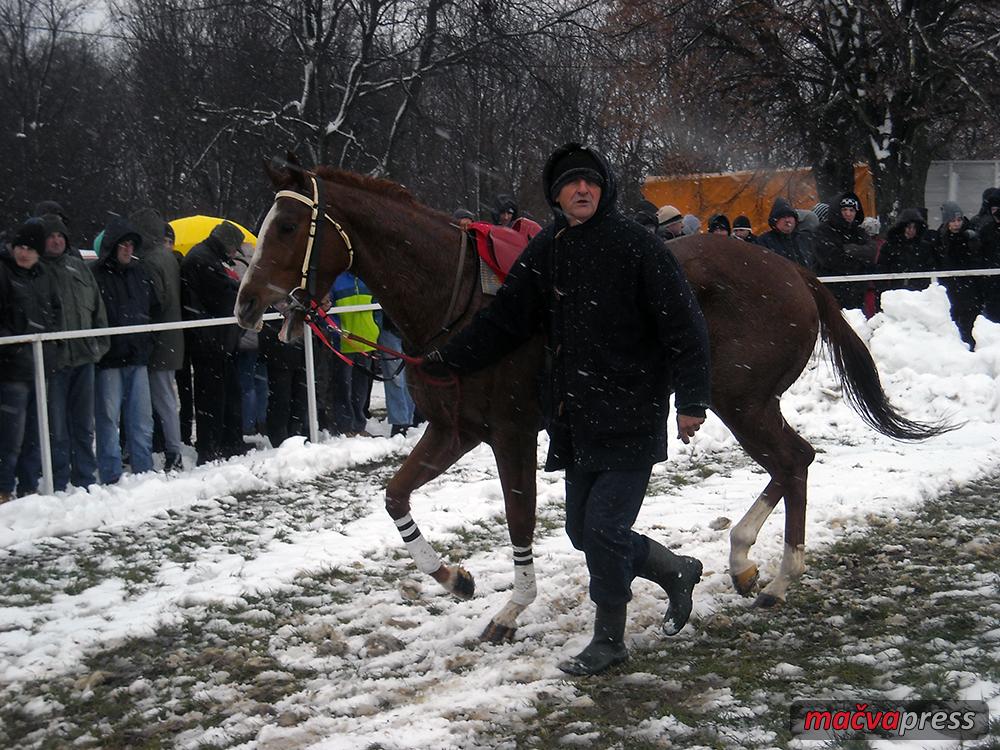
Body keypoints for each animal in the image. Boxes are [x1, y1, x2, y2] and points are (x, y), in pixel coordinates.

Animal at [234, 162, 944, 644]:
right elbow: (395, 496)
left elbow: (520, 522)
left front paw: (511, 607)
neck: (465, 302)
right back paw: (743, 563)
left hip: (743, 400)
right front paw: (453, 577)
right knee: (791, 462)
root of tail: (791, 270)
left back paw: (778, 576)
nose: (245, 303)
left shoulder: (511, 433)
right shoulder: (452, 428)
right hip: (742, 401)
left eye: (289, 225)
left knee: (793, 461)